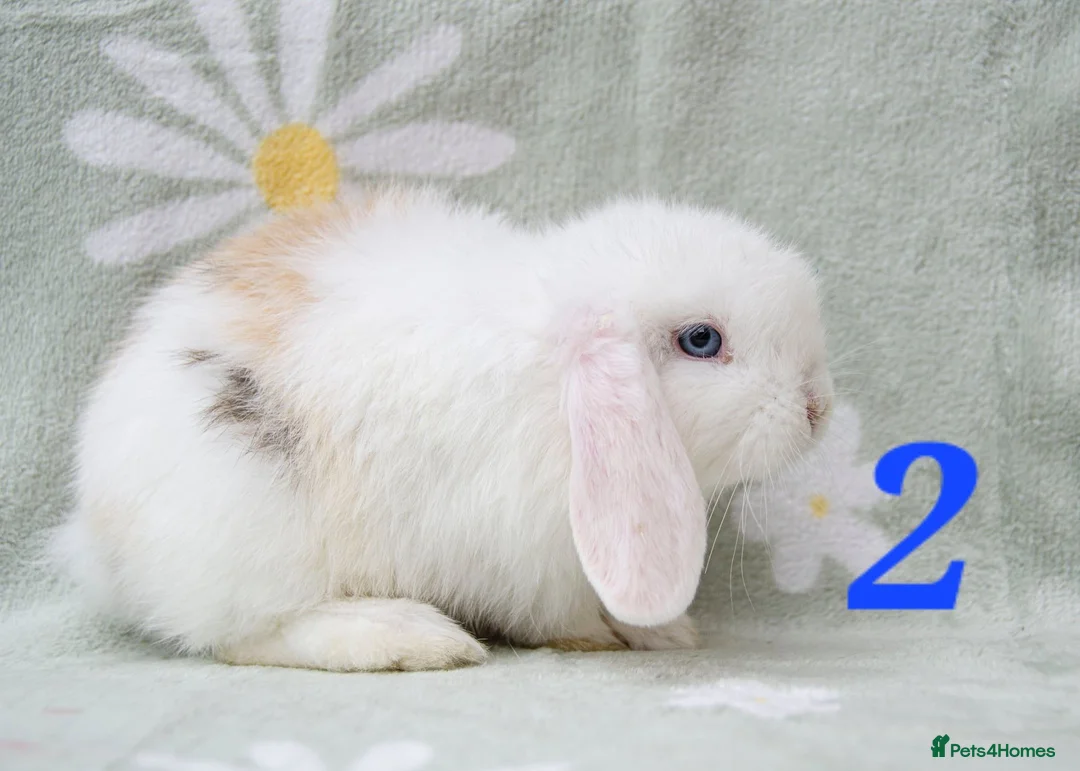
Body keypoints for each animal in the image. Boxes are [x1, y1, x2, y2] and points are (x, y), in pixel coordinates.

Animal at [52, 184, 833, 672]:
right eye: (702, 340)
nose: (816, 408)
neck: (550, 372)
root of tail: (96, 537)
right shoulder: (533, 553)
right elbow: (560, 614)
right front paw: (612, 633)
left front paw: (661, 629)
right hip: (247, 527)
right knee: (240, 632)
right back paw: (405, 637)